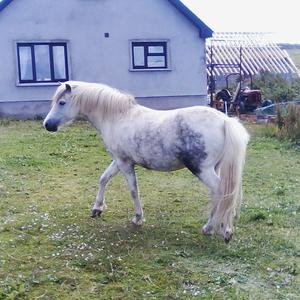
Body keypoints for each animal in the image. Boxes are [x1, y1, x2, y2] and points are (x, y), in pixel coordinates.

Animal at [42, 82, 248, 244]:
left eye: (62, 102)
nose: (47, 125)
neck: (117, 117)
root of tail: (224, 120)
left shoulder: (124, 164)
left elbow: (133, 190)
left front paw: (137, 218)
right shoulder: (118, 161)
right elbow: (103, 179)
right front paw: (97, 208)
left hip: (202, 170)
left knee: (222, 192)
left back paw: (212, 228)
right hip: (214, 168)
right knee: (220, 195)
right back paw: (219, 227)